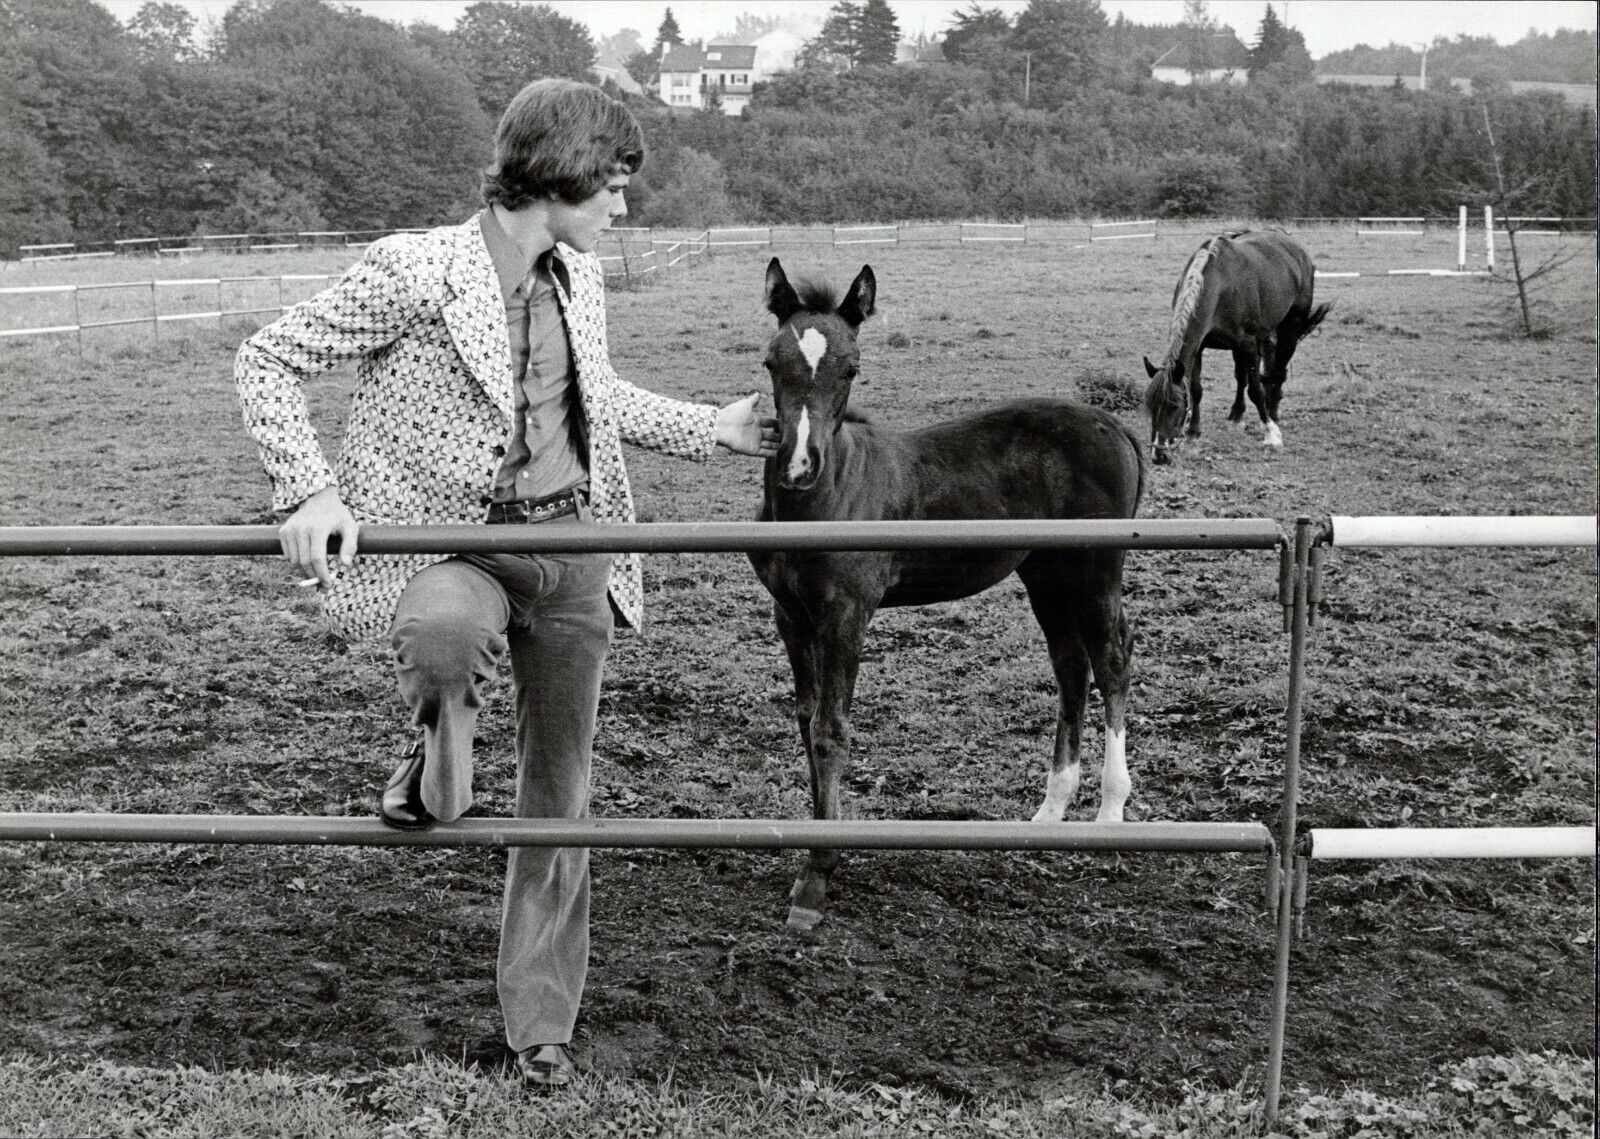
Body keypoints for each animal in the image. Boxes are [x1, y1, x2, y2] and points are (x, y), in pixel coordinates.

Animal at [748, 260, 1152, 934]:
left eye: (852, 368)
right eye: (771, 362)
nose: (799, 466)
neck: (827, 496)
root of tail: (1116, 424)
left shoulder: (846, 613)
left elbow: (831, 730)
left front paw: (816, 878)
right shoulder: (791, 617)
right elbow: (807, 723)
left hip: (1095, 570)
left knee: (1112, 657)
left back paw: (1109, 812)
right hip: (1047, 576)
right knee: (1071, 667)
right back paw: (1050, 811)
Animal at [1145, 231, 1331, 463]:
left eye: (1175, 406)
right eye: (1150, 407)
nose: (1158, 454)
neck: (1219, 284)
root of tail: (1297, 249)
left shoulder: (1248, 345)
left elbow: (1255, 391)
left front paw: (1271, 432)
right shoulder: (1199, 347)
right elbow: (1197, 390)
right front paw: (1193, 435)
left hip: (1289, 329)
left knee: (1278, 372)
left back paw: (1273, 413)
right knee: (1249, 375)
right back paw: (1238, 414)